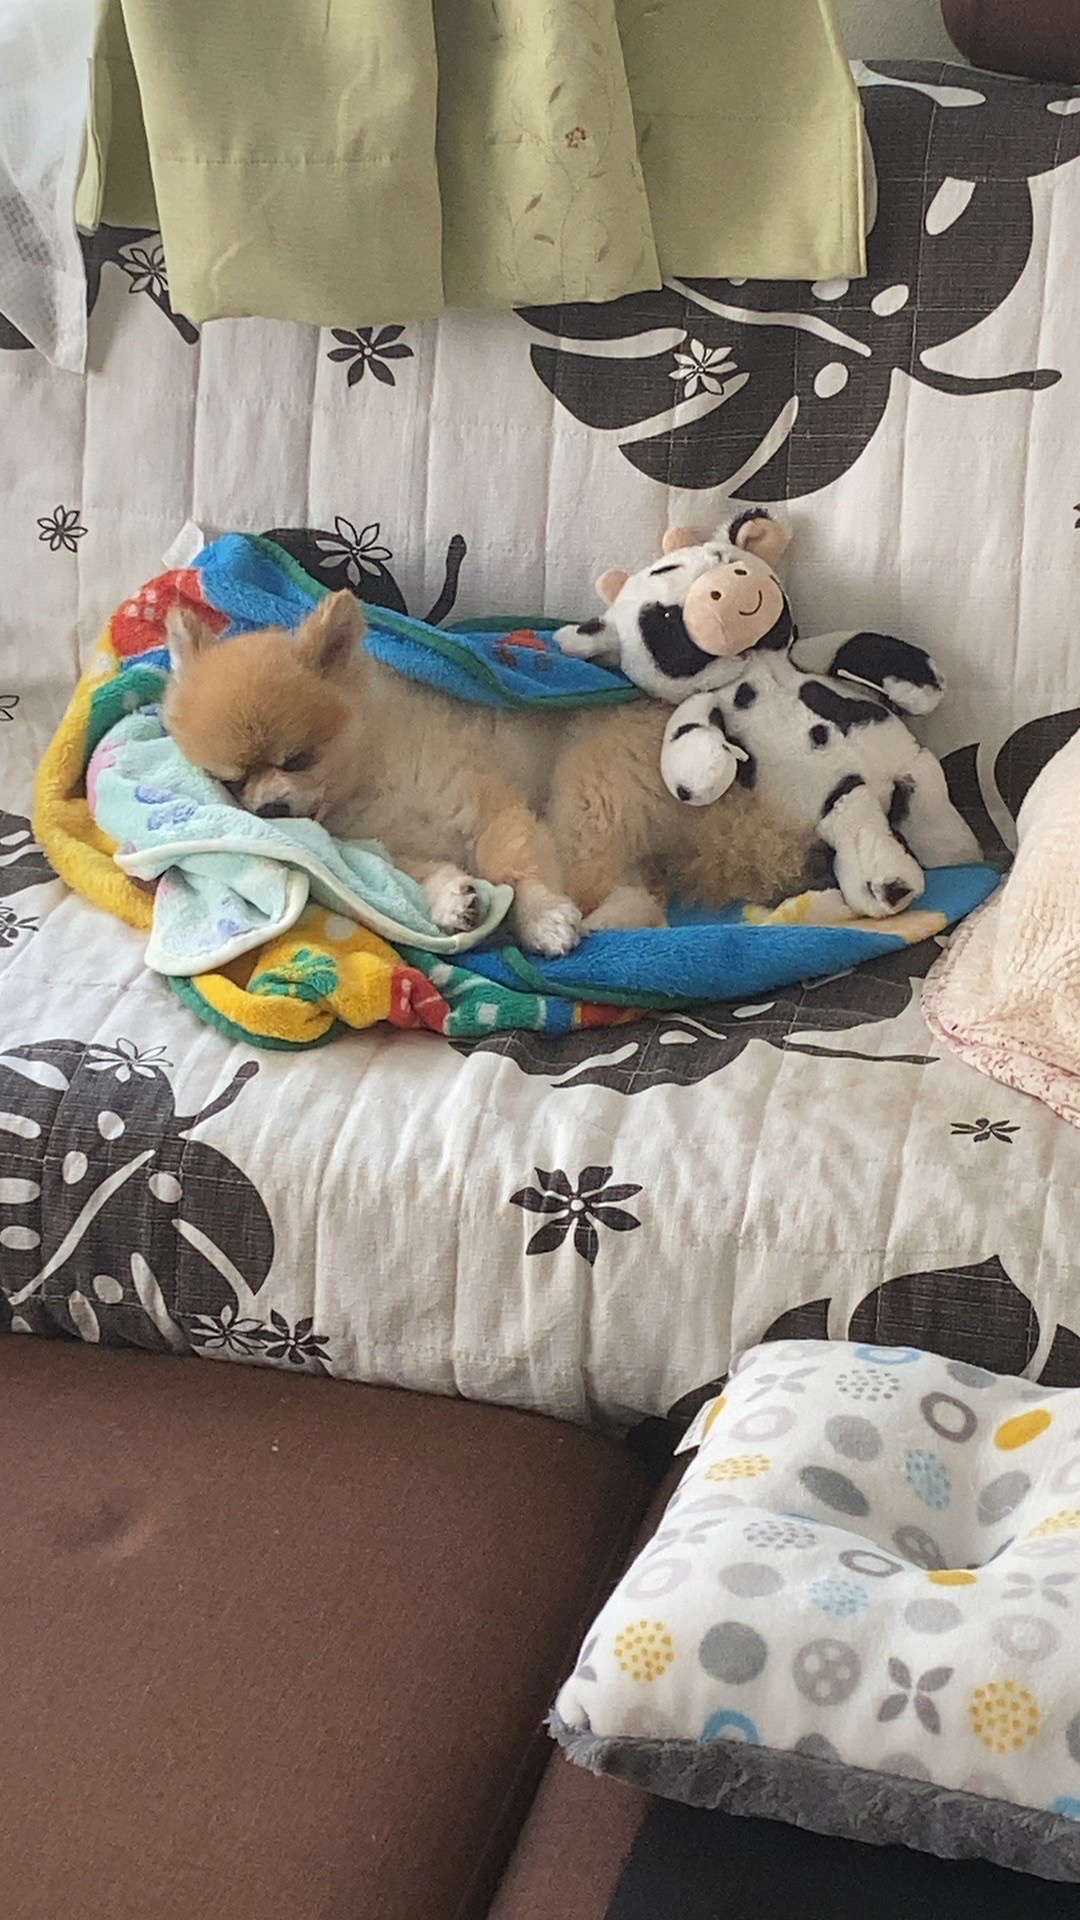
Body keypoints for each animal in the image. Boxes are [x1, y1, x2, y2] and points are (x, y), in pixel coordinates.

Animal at [163, 590, 812, 952]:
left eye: (298, 759)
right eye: (231, 783)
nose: (270, 808)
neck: (372, 771)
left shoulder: (487, 807)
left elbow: (515, 866)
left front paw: (541, 919)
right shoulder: (386, 847)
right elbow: (423, 873)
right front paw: (455, 900)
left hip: (586, 793)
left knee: (639, 902)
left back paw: (594, 925)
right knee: (643, 893)